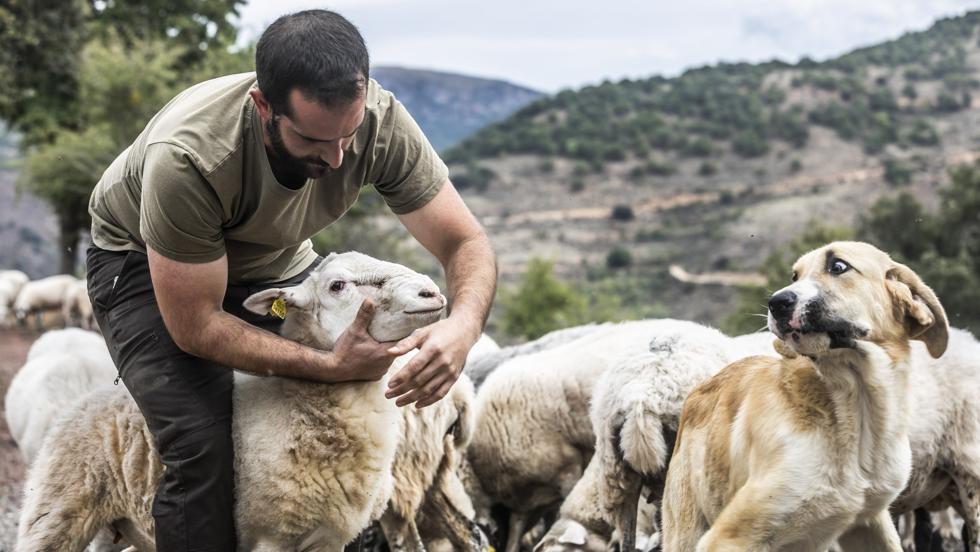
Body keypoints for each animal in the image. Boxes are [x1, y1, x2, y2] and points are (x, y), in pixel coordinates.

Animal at [15, 251, 452, 552]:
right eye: (337, 286)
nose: (430, 291)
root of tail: (88, 397)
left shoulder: (329, 539)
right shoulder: (269, 536)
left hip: (118, 525)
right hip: (57, 511)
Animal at [664, 243, 944, 552]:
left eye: (838, 266)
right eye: (794, 275)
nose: (776, 303)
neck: (857, 407)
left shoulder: (868, 522)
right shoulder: (729, 536)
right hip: (687, 531)